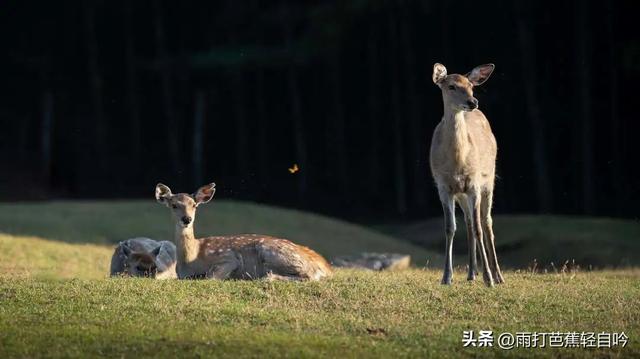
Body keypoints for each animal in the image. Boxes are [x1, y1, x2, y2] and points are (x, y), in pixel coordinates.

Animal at [156, 183, 336, 282]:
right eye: (174, 205)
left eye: (194, 205)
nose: (187, 219)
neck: (191, 258)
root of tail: (324, 267)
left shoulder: (228, 257)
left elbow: (211, 276)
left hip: (272, 251)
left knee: (309, 275)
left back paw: (267, 277)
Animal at [430, 62, 504, 286]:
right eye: (451, 86)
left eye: (471, 86)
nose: (473, 101)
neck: (457, 163)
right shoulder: (444, 186)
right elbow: (450, 228)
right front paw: (446, 277)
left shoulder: (474, 185)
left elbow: (480, 228)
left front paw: (489, 278)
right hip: (461, 194)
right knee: (469, 223)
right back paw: (472, 273)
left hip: (489, 181)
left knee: (486, 222)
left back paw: (497, 275)